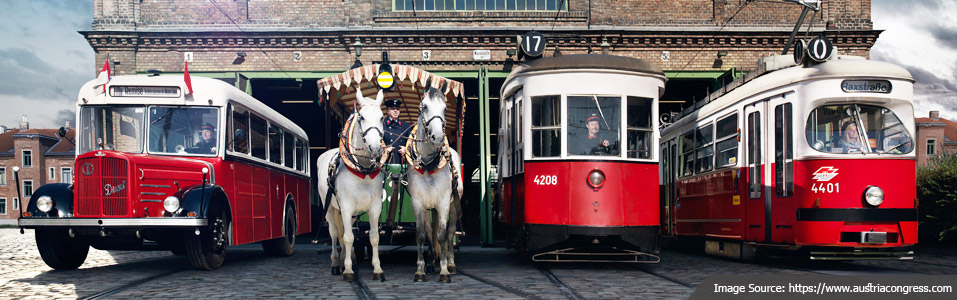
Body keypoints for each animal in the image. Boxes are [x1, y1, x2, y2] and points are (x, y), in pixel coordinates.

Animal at [316, 88, 386, 282]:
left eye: (382, 117)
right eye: (361, 117)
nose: (375, 148)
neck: (363, 170)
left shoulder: (374, 206)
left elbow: (374, 237)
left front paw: (377, 269)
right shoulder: (345, 206)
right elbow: (347, 237)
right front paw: (347, 271)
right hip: (330, 208)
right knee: (334, 233)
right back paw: (335, 263)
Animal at [404, 78, 464, 284]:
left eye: (445, 108)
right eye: (424, 107)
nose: (437, 137)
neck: (429, 164)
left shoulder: (444, 202)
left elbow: (443, 235)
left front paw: (444, 271)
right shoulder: (417, 203)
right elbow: (422, 235)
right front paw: (420, 270)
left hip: (453, 204)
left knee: (450, 231)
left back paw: (451, 263)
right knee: (431, 232)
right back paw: (431, 263)